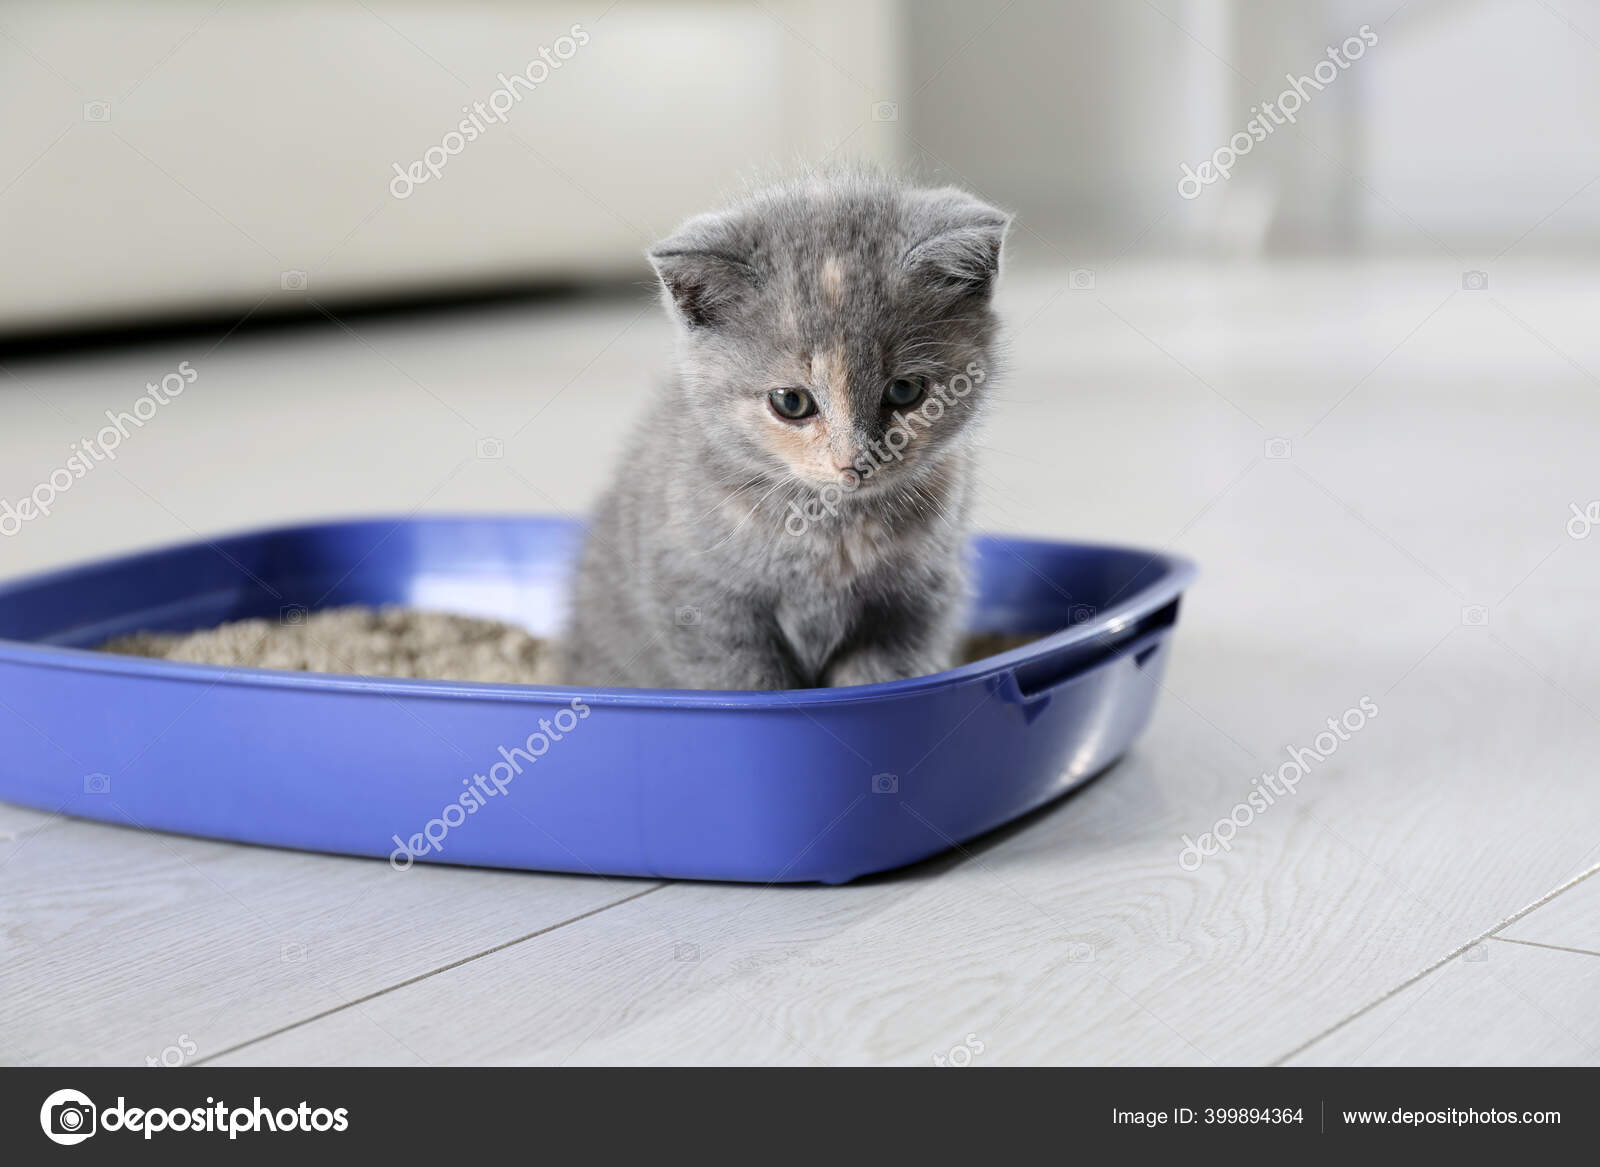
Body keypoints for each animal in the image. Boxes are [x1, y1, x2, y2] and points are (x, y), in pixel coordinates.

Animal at [563, 168, 1004, 688]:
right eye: (791, 402)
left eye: (904, 391)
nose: (855, 462)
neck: (830, 531)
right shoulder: (702, 602)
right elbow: (749, 684)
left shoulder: (917, 605)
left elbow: (878, 680)